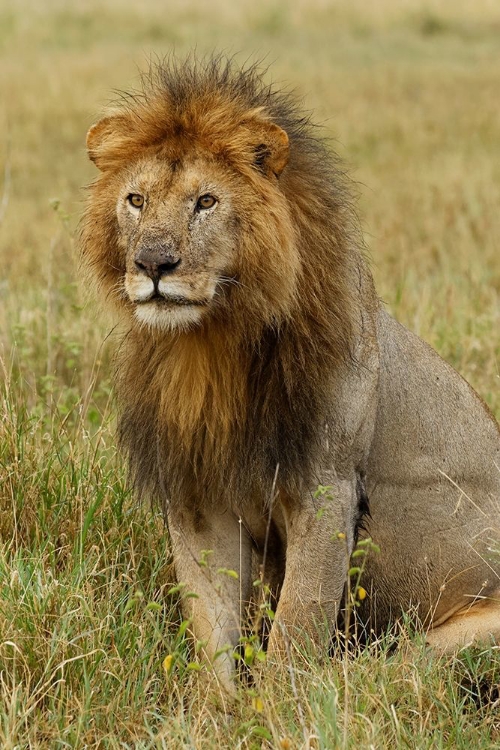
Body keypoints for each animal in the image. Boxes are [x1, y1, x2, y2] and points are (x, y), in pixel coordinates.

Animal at [79, 55, 500, 696]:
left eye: (206, 201)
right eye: (136, 200)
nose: (153, 263)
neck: (211, 347)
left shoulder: (326, 485)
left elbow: (296, 628)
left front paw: (278, 708)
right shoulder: (198, 494)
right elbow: (210, 627)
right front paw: (213, 709)